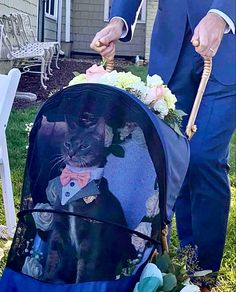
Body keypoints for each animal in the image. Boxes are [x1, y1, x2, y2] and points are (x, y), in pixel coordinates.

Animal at [42, 116, 136, 282]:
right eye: (67, 144)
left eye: (84, 146)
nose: (71, 153)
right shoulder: (59, 228)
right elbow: (52, 257)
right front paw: (46, 280)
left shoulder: (90, 238)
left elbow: (84, 268)